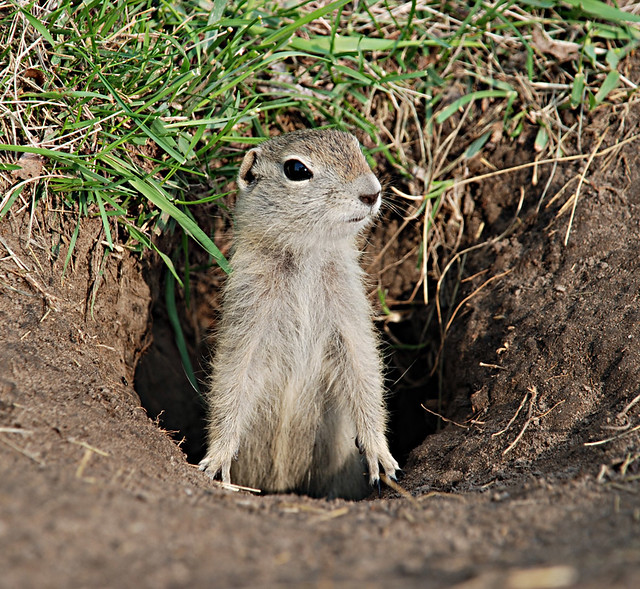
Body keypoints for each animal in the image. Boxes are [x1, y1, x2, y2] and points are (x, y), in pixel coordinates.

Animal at [200, 130, 400, 500]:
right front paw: (216, 459)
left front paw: (381, 456)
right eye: (296, 169)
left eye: (356, 145)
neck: (308, 253)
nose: (372, 192)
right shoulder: (248, 316)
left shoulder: (349, 315)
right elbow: (232, 380)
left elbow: (365, 373)